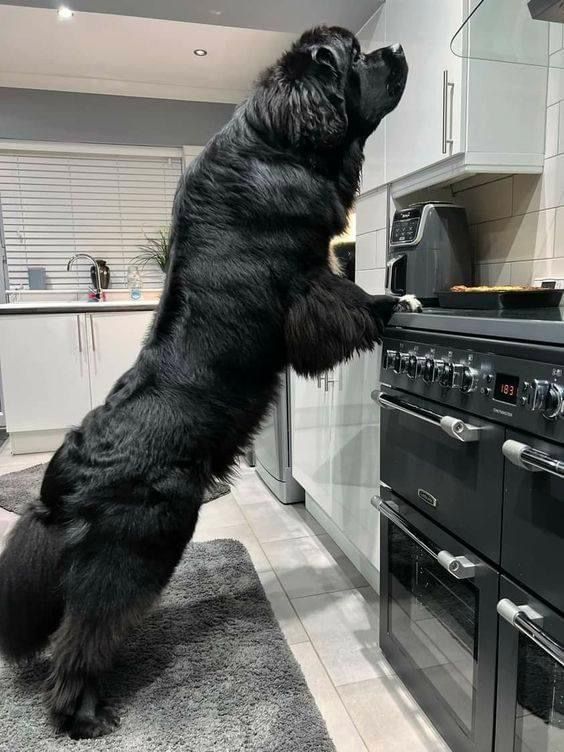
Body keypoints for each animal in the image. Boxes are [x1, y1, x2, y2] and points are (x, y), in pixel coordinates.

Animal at [0, 25, 414, 740]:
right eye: (356, 55)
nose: (397, 50)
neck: (276, 142)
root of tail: (62, 477)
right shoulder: (307, 281)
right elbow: (348, 298)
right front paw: (393, 302)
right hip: (140, 543)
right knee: (84, 632)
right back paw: (83, 714)